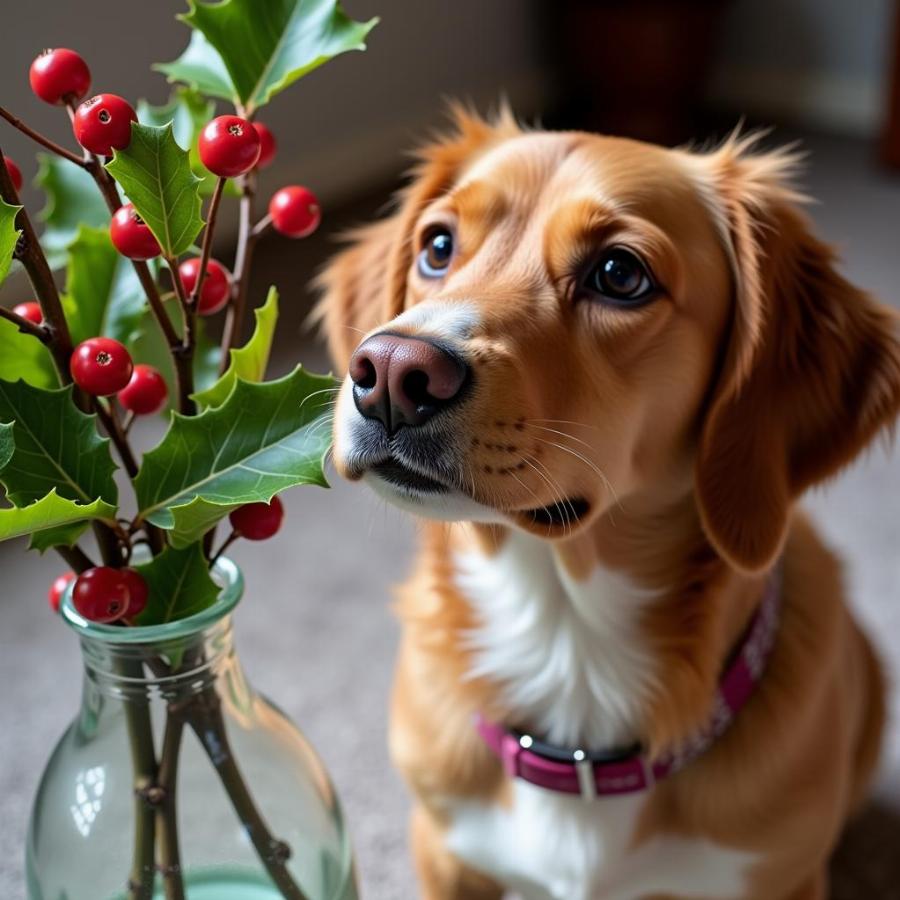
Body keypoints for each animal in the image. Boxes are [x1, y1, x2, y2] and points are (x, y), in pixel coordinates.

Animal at [316, 109, 900, 896]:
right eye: (438, 246)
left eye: (620, 274)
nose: (390, 372)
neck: (568, 641)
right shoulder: (444, 851)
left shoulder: (783, 876)